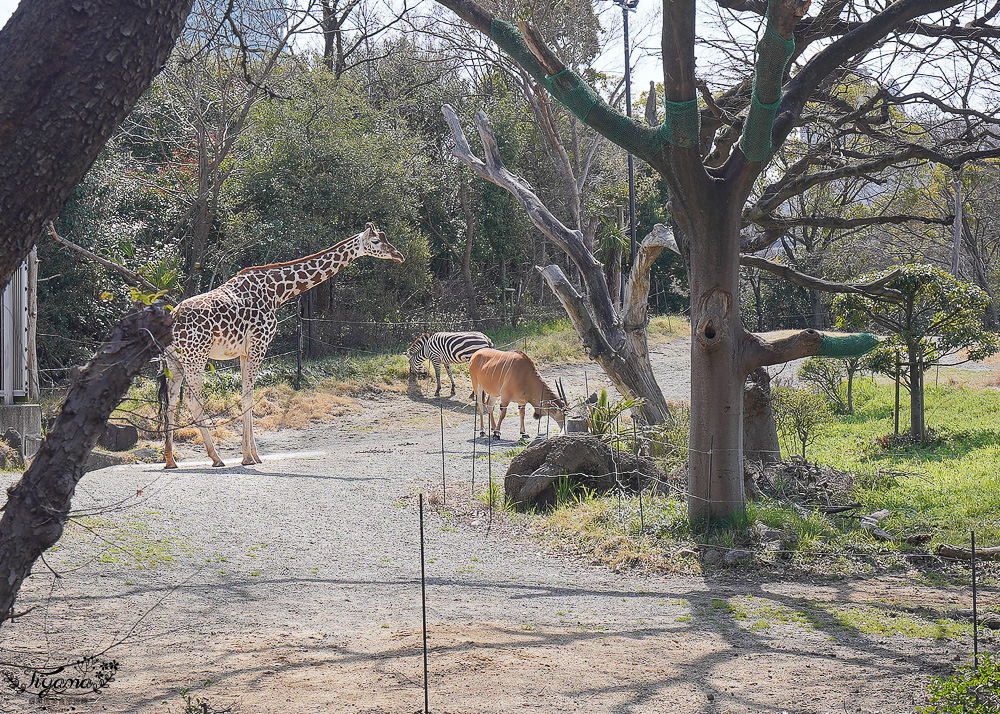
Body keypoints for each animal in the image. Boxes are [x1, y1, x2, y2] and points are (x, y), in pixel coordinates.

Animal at [162, 222, 404, 468]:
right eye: (376, 241)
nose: (398, 255)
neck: (277, 292)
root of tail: (170, 320)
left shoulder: (244, 351)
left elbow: (246, 394)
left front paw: (254, 455)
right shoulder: (259, 345)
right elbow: (248, 396)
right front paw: (248, 457)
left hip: (175, 360)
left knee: (171, 399)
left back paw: (170, 458)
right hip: (197, 357)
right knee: (191, 399)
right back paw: (215, 457)